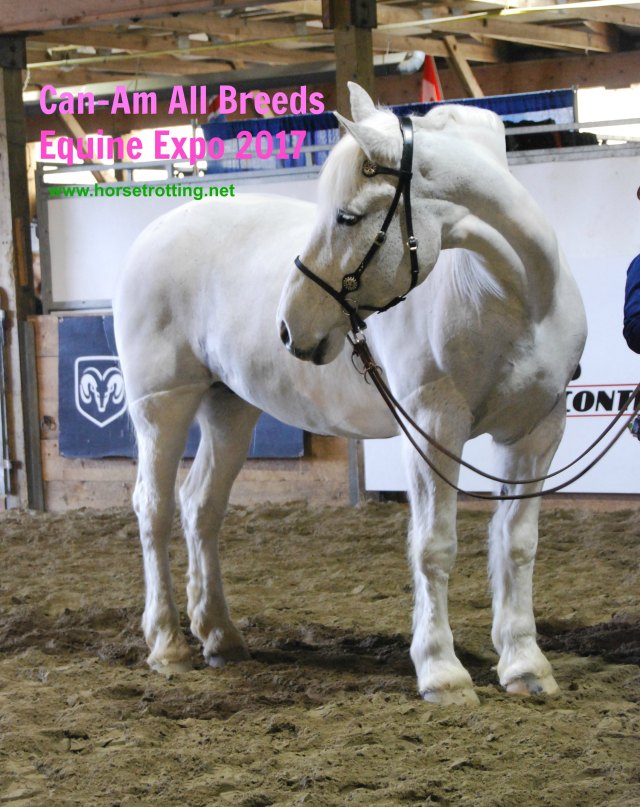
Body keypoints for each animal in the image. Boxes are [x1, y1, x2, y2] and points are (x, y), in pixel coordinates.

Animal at [114, 82, 587, 706]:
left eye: (347, 216)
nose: (288, 326)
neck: (510, 295)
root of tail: (153, 232)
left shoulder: (537, 431)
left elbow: (518, 544)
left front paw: (525, 665)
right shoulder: (434, 426)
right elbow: (434, 545)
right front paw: (442, 672)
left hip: (229, 407)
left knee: (201, 507)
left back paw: (220, 636)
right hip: (162, 405)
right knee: (155, 508)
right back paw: (168, 644)